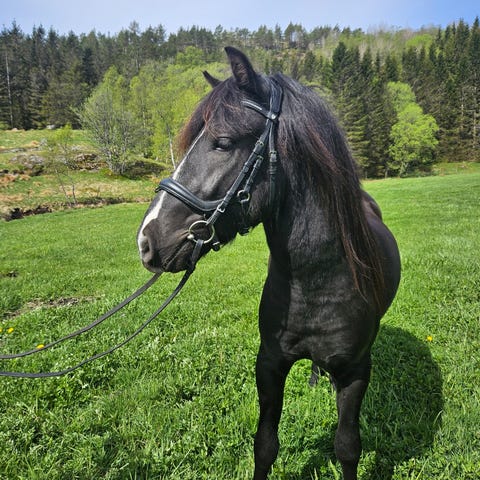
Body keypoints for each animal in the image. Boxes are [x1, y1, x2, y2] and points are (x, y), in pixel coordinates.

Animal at [137, 47, 401, 480]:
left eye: (223, 143)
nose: (147, 240)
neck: (318, 279)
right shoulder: (270, 364)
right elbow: (265, 445)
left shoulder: (357, 371)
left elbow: (347, 447)